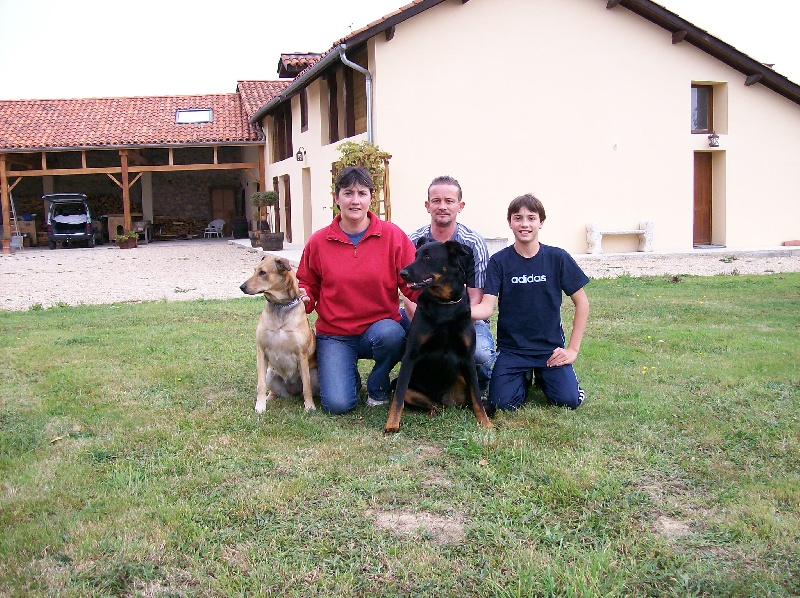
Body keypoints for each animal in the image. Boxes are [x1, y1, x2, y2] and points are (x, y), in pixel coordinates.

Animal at [239, 255, 318, 414]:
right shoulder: (261, 351)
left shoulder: (302, 354)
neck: (281, 305)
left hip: (315, 374)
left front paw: (309, 406)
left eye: (262, 272)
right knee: (273, 391)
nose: (242, 287)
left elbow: (306, 387)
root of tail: (291, 389)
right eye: (254, 270)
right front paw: (260, 406)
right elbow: (260, 385)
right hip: (270, 372)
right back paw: (269, 397)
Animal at [386, 241, 496, 434]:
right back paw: (433, 411)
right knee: (430, 404)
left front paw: (485, 423)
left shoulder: (468, 358)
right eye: (415, 255)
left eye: (428, 257)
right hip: (407, 387)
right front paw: (392, 424)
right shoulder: (410, 355)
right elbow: (398, 397)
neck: (444, 304)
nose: (403, 273)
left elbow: (477, 397)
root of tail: (446, 400)